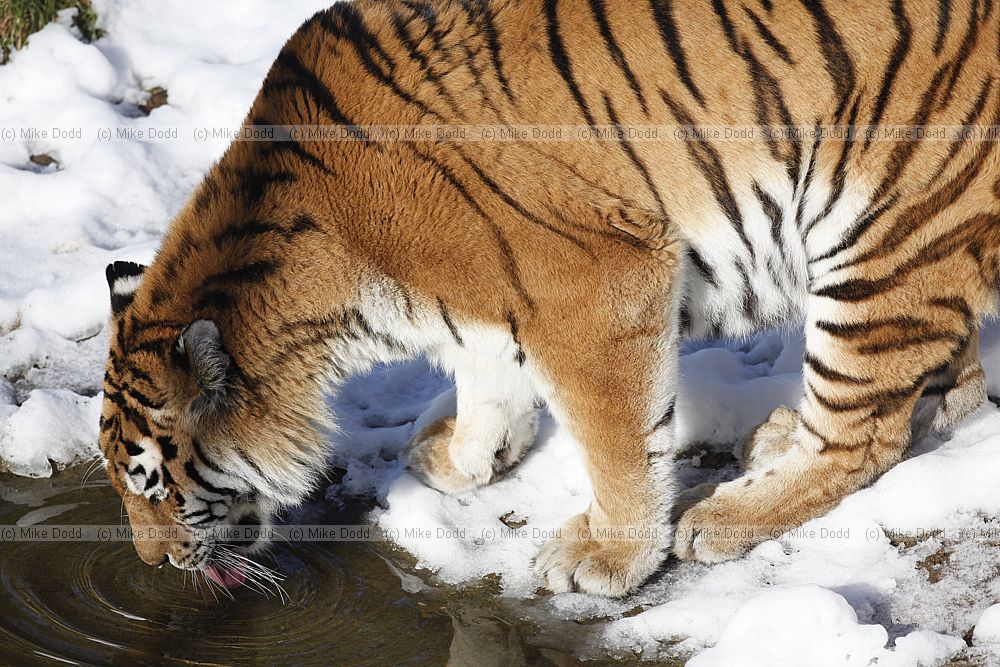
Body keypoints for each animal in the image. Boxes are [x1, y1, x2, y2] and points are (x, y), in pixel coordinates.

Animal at [99, 0, 1000, 598]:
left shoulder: (596, 281)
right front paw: (458, 455)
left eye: (152, 483)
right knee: (948, 388)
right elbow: (487, 383)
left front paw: (609, 556)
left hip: (879, 231)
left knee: (867, 434)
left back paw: (727, 515)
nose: (150, 563)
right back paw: (778, 437)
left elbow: (618, 445)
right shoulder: (488, 301)